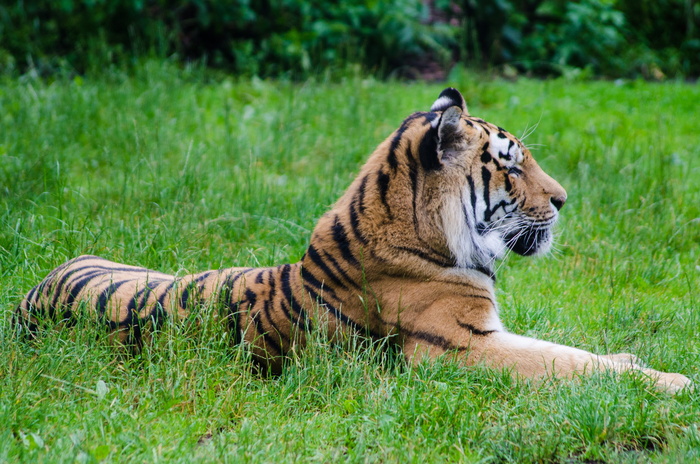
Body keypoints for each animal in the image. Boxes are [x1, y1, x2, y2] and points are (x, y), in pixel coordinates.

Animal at [16, 87, 688, 392]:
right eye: (512, 164)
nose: (564, 199)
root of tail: (31, 297)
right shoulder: (460, 348)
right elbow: (563, 361)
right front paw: (672, 383)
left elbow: (572, 352)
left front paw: (630, 360)